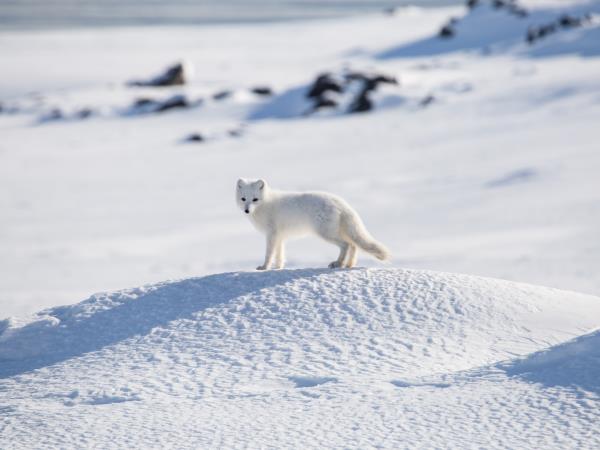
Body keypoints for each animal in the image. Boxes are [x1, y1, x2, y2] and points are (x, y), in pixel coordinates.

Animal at [237, 178, 392, 270]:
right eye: (243, 199)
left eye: (255, 199)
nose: (246, 210)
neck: (265, 203)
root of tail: (340, 202)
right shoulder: (279, 236)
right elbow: (279, 255)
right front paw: (278, 268)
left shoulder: (272, 234)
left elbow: (269, 253)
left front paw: (264, 267)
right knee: (353, 245)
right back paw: (348, 265)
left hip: (325, 233)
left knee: (346, 244)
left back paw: (338, 263)